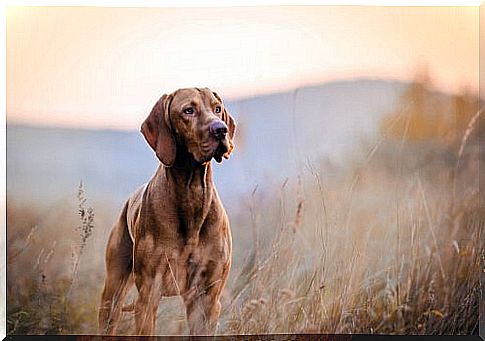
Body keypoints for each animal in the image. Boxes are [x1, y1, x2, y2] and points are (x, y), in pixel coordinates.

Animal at [97, 87, 235, 334]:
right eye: (188, 110)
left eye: (217, 108)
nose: (221, 129)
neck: (192, 194)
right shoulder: (149, 294)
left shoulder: (207, 300)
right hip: (112, 292)